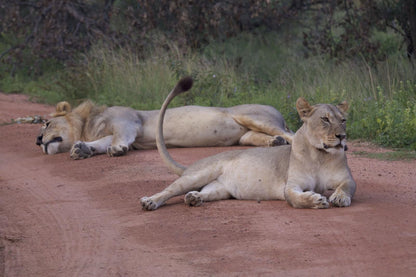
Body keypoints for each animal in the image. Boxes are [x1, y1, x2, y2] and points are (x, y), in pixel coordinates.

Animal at [36, 80, 292, 160]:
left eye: (46, 124)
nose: (38, 140)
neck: (87, 125)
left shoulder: (128, 122)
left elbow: (117, 139)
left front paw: (116, 149)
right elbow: (100, 143)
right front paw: (82, 150)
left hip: (251, 116)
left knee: (291, 134)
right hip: (245, 135)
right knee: (265, 138)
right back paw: (275, 143)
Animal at [140, 75, 354, 209]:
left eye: (343, 120)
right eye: (325, 119)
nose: (342, 136)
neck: (321, 156)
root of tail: (192, 165)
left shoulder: (347, 178)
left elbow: (346, 186)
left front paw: (339, 197)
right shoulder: (292, 184)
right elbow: (295, 198)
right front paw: (316, 201)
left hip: (220, 189)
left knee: (203, 193)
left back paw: (194, 198)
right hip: (197, 175)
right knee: (169, 190)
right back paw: (150, 202)